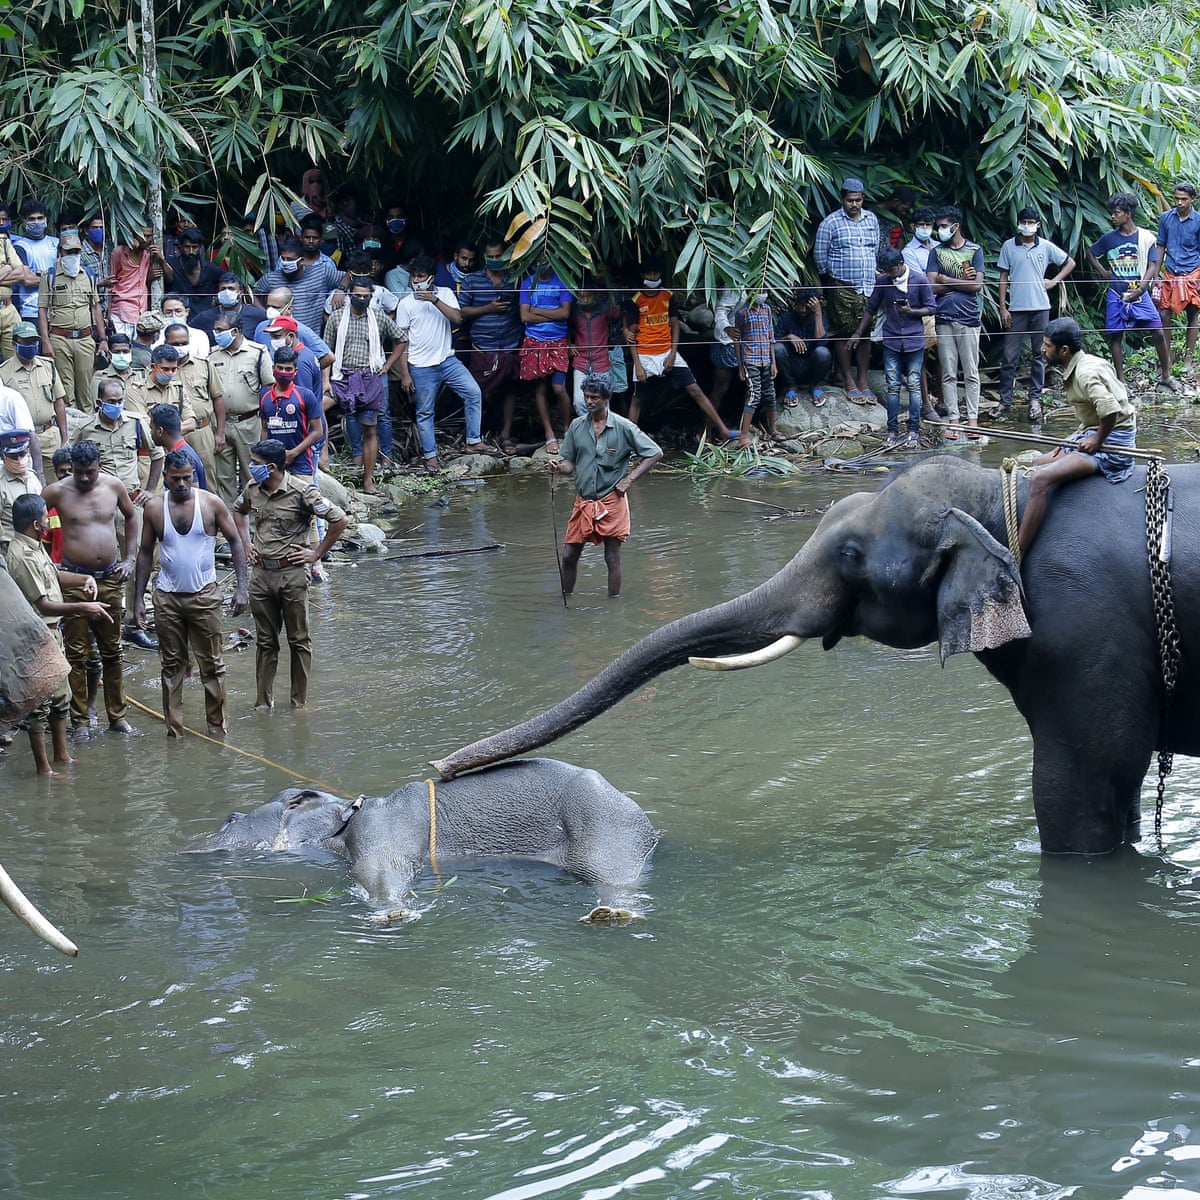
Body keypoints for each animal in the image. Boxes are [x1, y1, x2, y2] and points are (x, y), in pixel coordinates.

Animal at [188, 758, 659, 921]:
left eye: (230, 819)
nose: (227, 815)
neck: (349, 809)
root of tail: (650, 829)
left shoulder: (381, 832)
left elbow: (379, 870)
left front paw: (395, 915)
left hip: (602, 828)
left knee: (612, 876)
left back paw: (611, 914)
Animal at [433, 455, 1200, 857]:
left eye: (853, 555)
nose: (438, 769)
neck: (1003, 493)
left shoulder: (1086, 630)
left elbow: (1083, 783)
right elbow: (1118, 783)